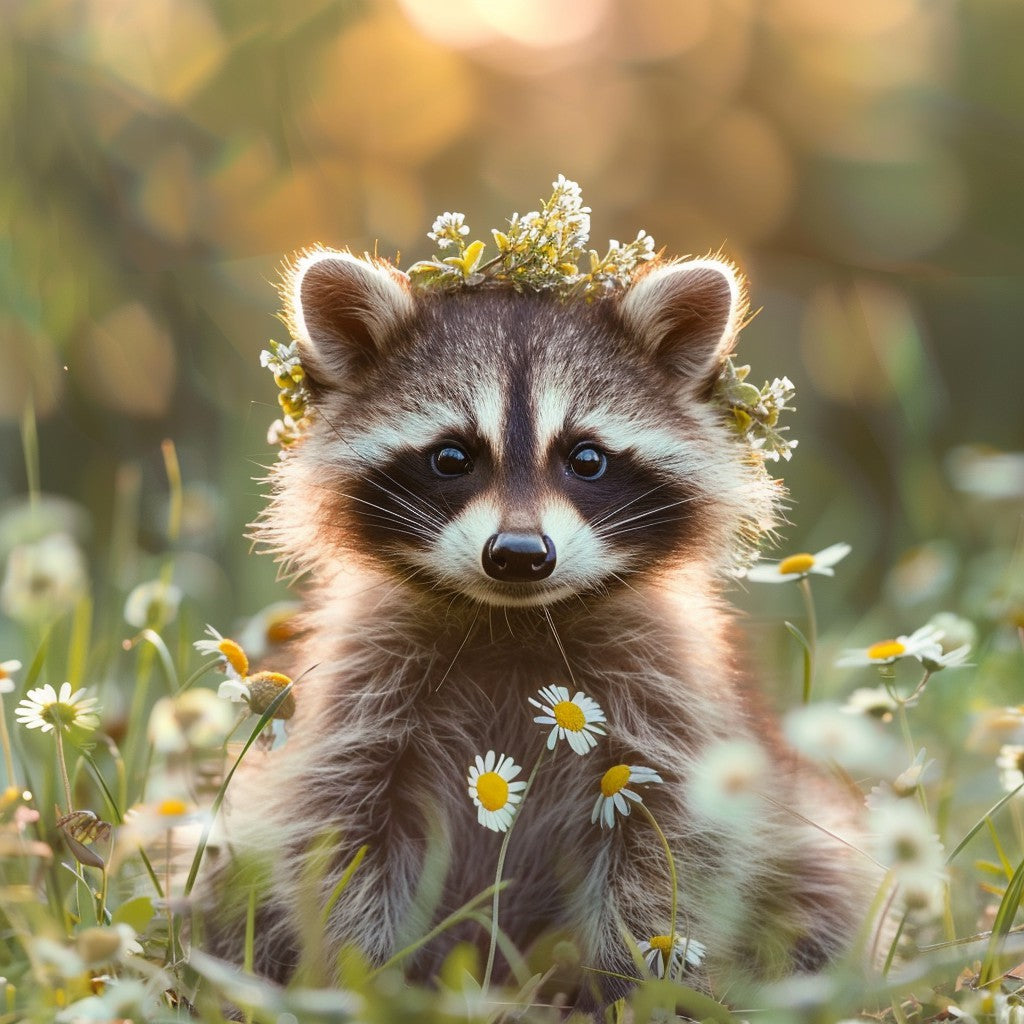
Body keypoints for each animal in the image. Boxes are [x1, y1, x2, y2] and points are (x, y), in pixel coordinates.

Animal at [198, 249, 873, 1007]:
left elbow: (674, 849)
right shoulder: (362, 688)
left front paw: (631, 985)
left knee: (823, 880)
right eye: (452, 457)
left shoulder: (670, 691)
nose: (519, 555)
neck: (514, 620)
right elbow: (334, 829)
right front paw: (365, 977)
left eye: (586, 458)